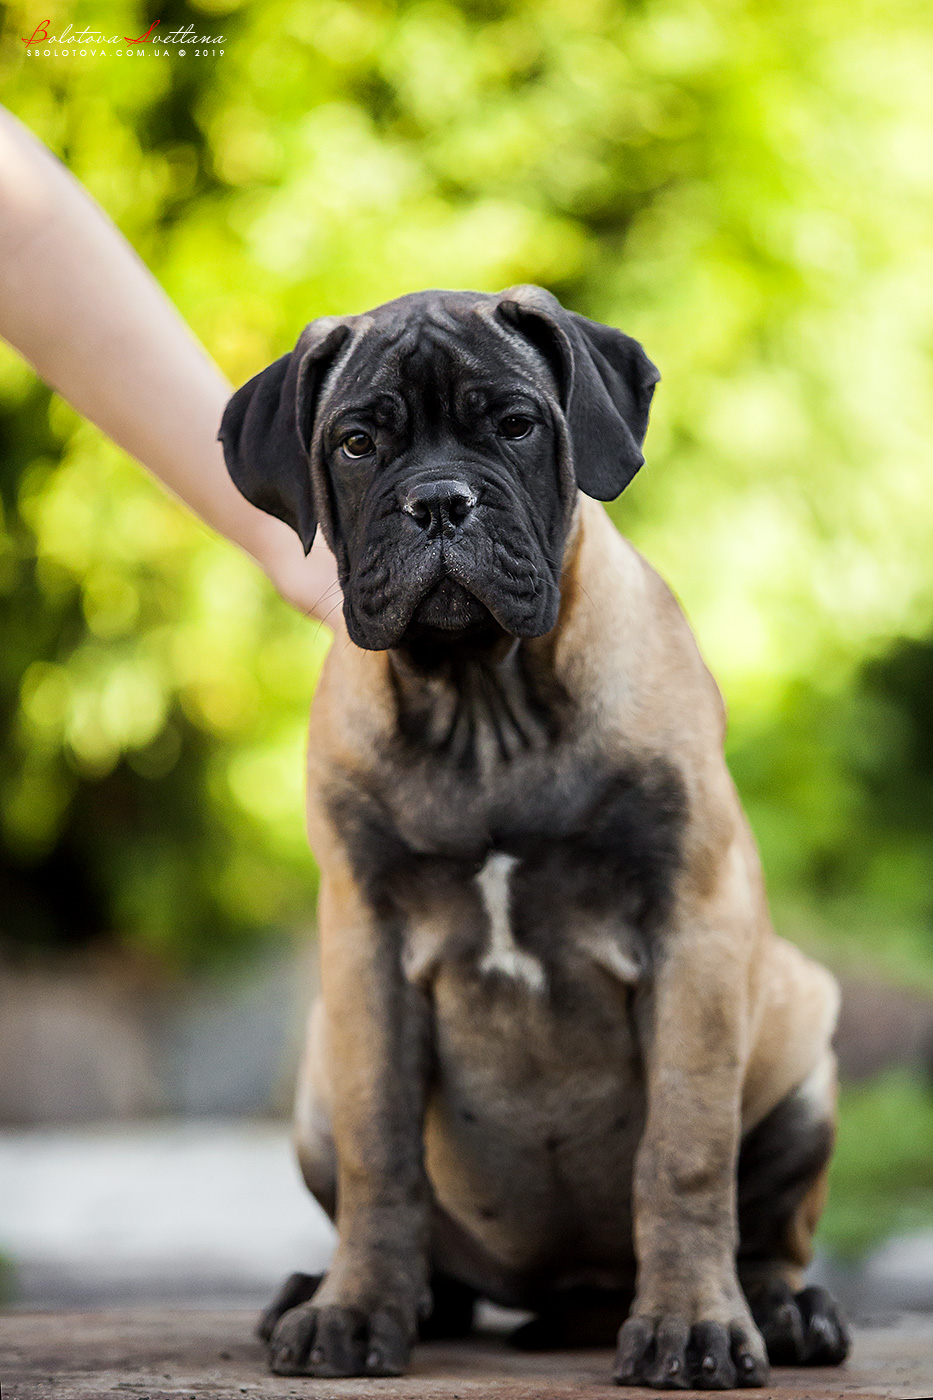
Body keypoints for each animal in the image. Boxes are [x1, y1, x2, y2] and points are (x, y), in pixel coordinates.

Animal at [219, 287, 851, 1388]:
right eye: (355, 443)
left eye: (515, 425)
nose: (438, 501)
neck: (484, 702)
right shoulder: (365, 948)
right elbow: (381, 1153)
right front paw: (354, 1307)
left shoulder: (694, 927)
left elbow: (686, 1152)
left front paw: (690, 1324)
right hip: (314, 1086)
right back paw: (354, 1292)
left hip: (805, 1047)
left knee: (769, 1229)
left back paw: (785, 1309)